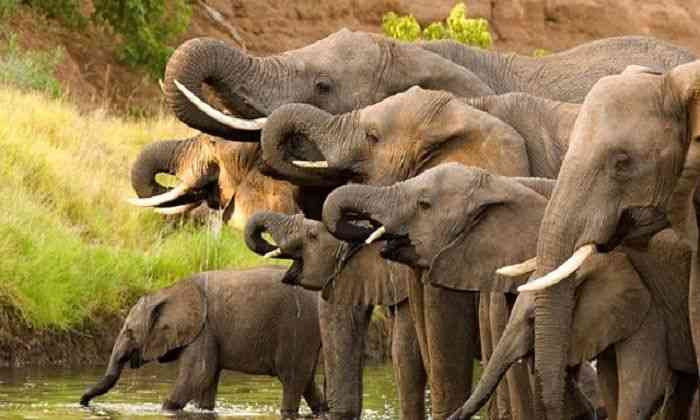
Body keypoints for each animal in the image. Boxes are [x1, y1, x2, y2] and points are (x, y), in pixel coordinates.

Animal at [79, 266, 326, 418]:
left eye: (130, 332)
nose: (82, 402)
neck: (168, 291)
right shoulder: (208, 332)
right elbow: (207, 380)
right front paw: (203, 409)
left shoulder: (204, 329)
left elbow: (198, 374)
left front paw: (165, 409)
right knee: (307, 380)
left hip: (297, 327)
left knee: (292, 379)